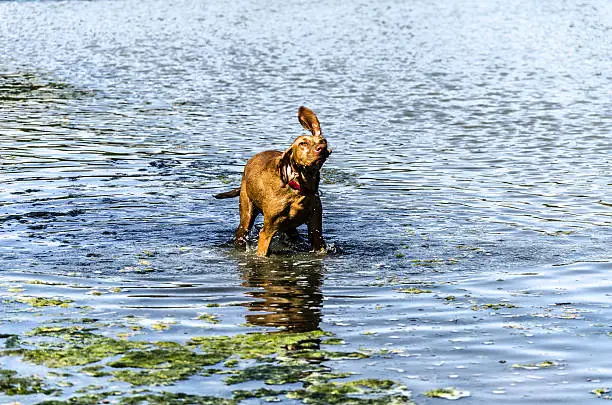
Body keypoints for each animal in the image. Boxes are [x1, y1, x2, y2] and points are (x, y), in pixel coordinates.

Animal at [214, 105, 332, 256]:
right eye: (303, 143)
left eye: (323, 141)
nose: (321, 149)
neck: (300, 190)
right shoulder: (267, 231)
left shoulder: (316, 230)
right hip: (246, 217)